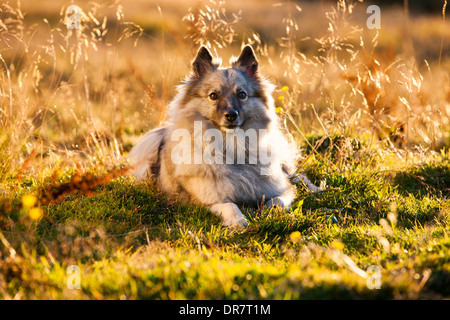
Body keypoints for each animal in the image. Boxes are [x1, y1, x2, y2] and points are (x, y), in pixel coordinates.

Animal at [128, 46, 316, 229]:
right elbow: (230, 205)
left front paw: (271, 212)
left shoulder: (282, 189)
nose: (231, 115)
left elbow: (279, 199)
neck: (233, 147)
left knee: (298, 176)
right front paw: (237, 220)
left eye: (242, 95)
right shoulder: (208, 201)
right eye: (213, 95)